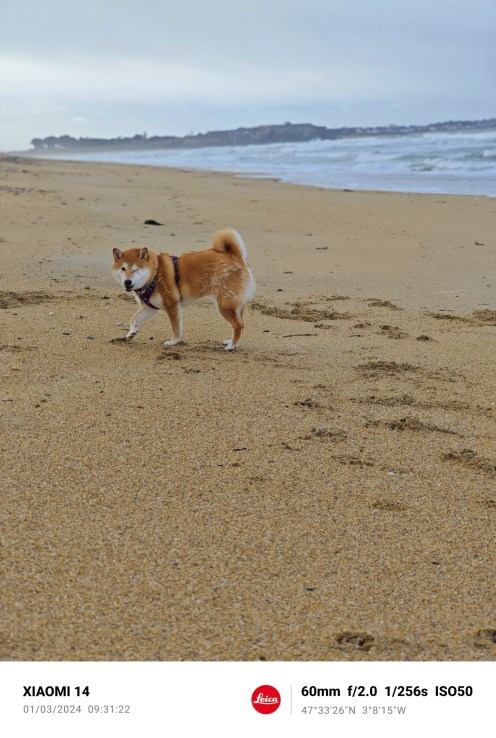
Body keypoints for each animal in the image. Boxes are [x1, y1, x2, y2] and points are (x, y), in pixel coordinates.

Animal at [112, 227, 256, 348]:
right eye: (123, 269)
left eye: (136, 269)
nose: (128, 282)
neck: (154, 274)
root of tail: (237, 257)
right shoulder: (150, 307)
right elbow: (134, 318)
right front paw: (131, 333)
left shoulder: (172, 306)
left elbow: (176, 328)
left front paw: (173, 342)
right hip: (234, 305)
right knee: (240, 324)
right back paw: (231, 342)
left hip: (225, 304)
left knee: (238, 325)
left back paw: (231, 346)